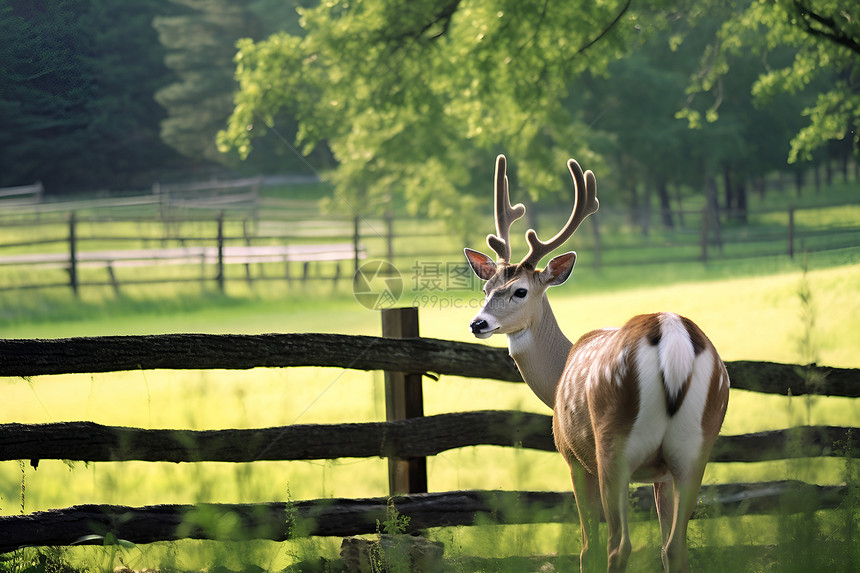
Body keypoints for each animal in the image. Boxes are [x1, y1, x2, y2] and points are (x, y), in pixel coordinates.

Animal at [466, 154, 728, 568]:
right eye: (487, 287)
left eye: (520, 291)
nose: (478, 323)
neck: (557, 378)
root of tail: (670, 333)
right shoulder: (661, 475)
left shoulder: (572, 457)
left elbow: (587, 546)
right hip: (697, 444)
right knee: (675, 547)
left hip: (612, 445)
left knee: (617, 545)